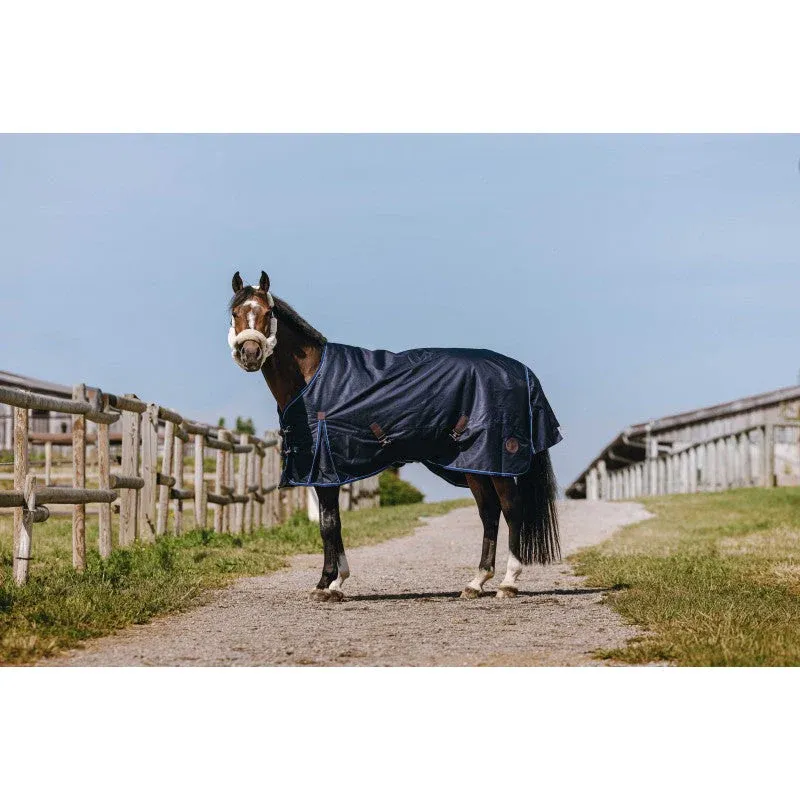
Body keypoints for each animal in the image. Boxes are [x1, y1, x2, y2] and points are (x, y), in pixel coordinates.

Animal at [227, 270, 561, 602]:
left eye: (267, 313)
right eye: (235, 312)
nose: (250, 354)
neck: (312, 379)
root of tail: (522, 372)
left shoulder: (326, 469)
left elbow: (329, 524)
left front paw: (327, 585)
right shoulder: (328, 472)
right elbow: (331, 523)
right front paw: (335, 582)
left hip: (496, 461)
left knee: (512, 510)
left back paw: (508, 582)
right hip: (475, 465)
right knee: (489, 513)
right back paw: (476, 583)